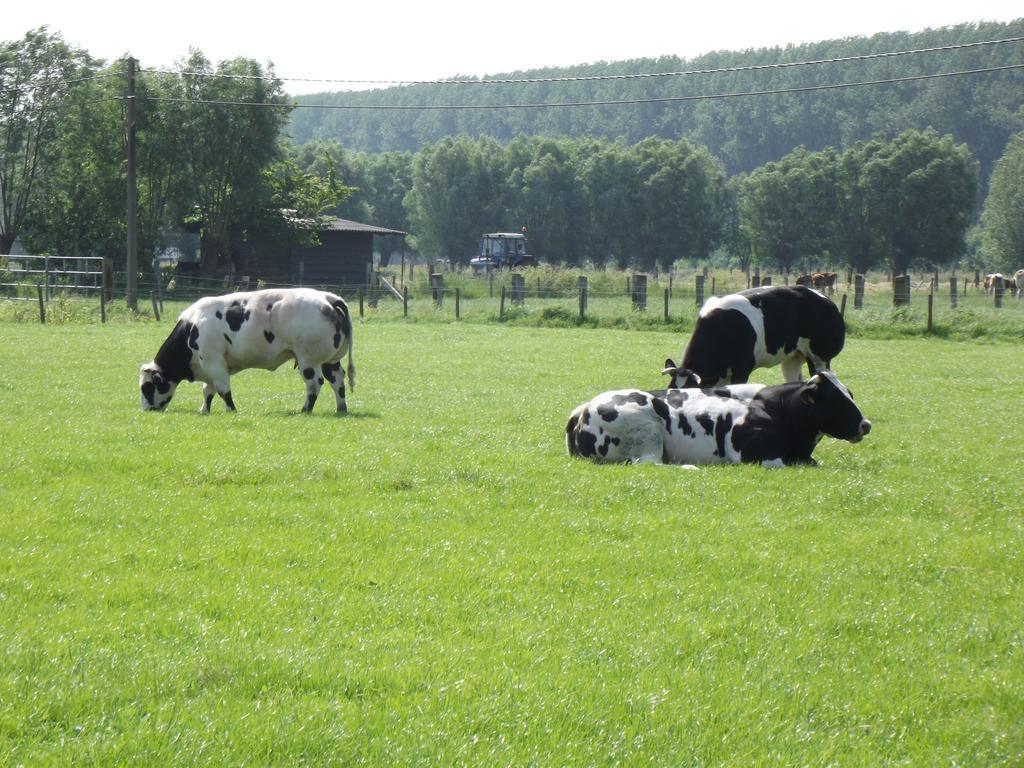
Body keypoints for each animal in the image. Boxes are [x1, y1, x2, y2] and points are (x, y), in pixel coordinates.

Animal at [139, 286, 356, 415]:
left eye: (147, 387)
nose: (146, 409)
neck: (192, 326)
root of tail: (327, 298)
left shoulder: (213, 361)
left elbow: (222, 389)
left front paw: (231, 410)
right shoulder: (209, 366)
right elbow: (207, 390)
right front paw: (204, 410)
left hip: (308, 359)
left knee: (314, 383)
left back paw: (305, 409)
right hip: (329, 361)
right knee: (337, 381)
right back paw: (341, 409)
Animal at [565, 372, 868, 468]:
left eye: (849, 394)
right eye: (835, 399)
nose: (866, 424)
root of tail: (584, 408)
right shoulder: (759, 457)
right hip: (646, 428)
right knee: (650, 464)